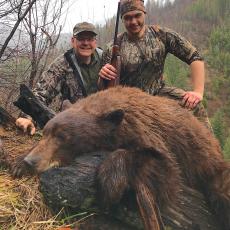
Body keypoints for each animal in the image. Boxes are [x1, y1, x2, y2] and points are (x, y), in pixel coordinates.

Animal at [11, 86, 229, 230]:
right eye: (47, 132)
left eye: (63, 137)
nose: (32, 161)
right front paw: (18, 163)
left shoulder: (155, 136)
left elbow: (166, 171)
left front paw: (110, 184)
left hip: (212, 169)